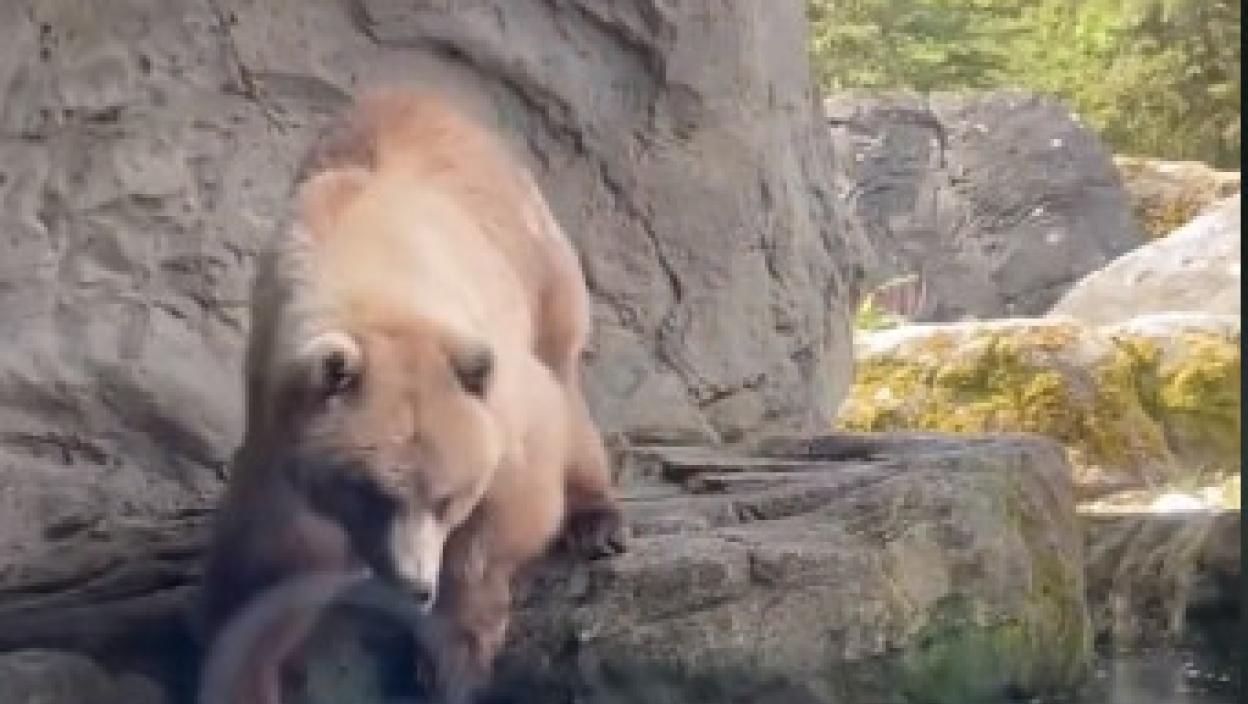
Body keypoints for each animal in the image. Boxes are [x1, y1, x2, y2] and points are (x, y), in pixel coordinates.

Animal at [195, 88, 626, 704]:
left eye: (449, 498)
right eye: (370, 493)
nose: (414, 585)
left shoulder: (490, 374)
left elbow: (514, 490)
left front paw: (453, 655)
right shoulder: (278, 400)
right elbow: (271, 554)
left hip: (538, 256)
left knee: (564, 376)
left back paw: (596, 520)